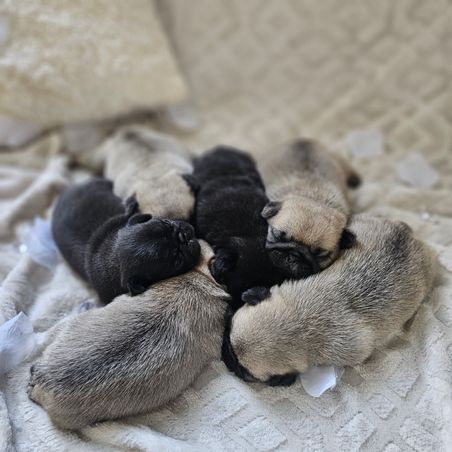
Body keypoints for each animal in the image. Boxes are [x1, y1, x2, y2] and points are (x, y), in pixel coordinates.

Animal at [52, 178, 200, 304]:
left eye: (167, 222)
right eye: (177, 260)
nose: (184, 235)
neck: (113, 256)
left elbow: (129, 214)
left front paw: (131, 204)